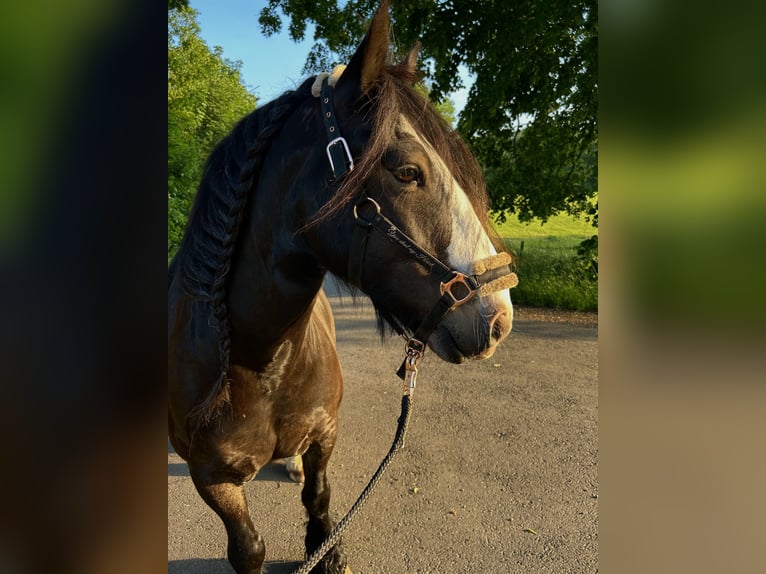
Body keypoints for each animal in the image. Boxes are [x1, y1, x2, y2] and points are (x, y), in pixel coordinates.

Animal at [168, 2, 516, 573]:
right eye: (407, 171)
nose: (498, 316)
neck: (256, 362)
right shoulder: (211, 479)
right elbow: (248, 547)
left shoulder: (325, 433)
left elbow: (319, 496)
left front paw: (326, 549)